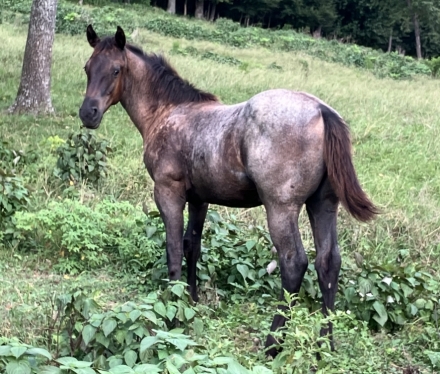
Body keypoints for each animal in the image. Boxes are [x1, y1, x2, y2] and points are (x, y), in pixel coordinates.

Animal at [79, 24, 378, 356]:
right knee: (328, 263)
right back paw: (325, 346)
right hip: (323, 204)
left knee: (294, 263)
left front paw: (171, 313)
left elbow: (173, 250)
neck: (169, 111)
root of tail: (321, 111)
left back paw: (273, 344)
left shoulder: (168, 192)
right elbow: (191, 246)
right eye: (87, 67)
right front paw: (191, 302)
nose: (88, 113)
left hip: (281, 207)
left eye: (116, 70)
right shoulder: (199, 199)